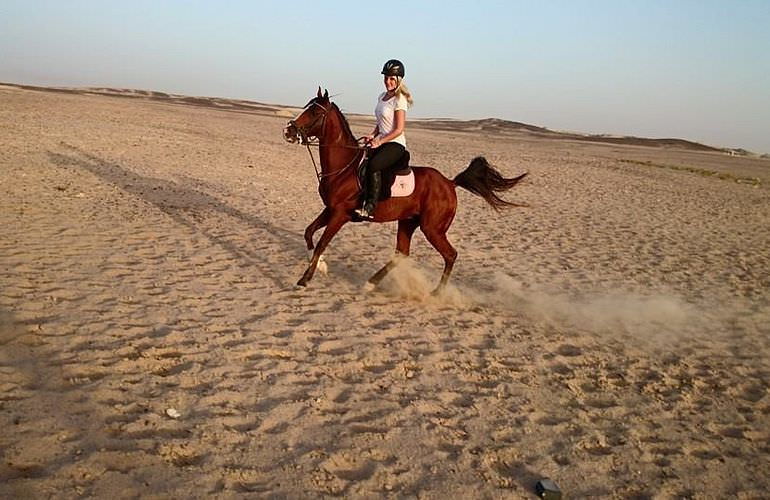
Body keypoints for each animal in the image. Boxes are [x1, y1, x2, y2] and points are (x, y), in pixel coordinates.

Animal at [284, 88, 528, 292]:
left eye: (315, 111)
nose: (288, 131)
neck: (345, 167)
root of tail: (449, 183)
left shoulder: (340, 214)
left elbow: (321, 243)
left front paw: (305, 278)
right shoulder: (330, 210)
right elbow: (309, 233)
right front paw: (321, 266)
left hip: (432, 229)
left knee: (450, 255)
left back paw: (437, 293)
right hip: (408, 222)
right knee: (402, 253)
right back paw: (371, 283)